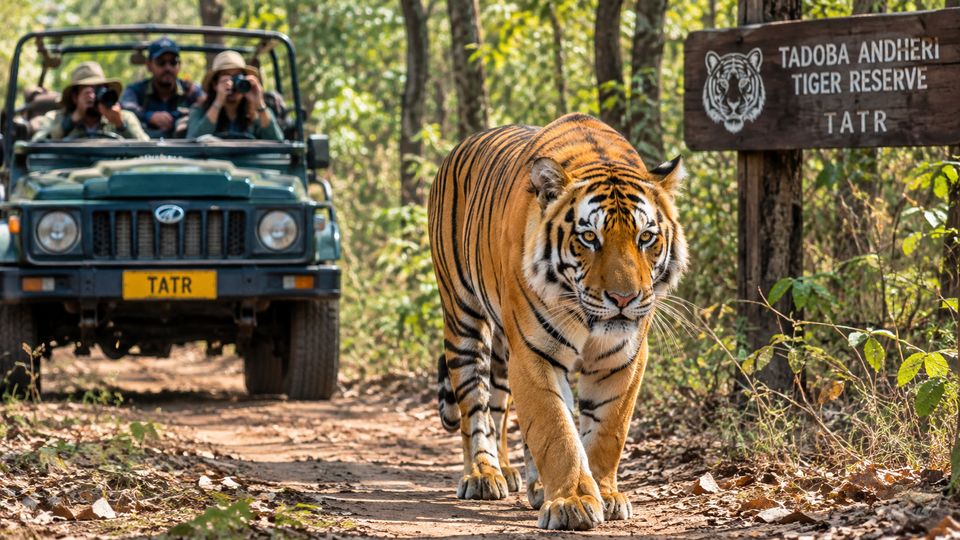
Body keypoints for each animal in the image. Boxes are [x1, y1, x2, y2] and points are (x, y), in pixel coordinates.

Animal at [429, 113, 687, 530]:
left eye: (646, 237)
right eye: (589, 237)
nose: (624, 299)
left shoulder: (625, 358)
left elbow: (607, 430)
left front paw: (605, 494)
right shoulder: (535, 353)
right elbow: (557, 430)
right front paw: (573, 502)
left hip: (504, 347)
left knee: (500, 405)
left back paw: (520, 478)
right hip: (463, 315)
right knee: (475, 405)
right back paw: (483, 474)